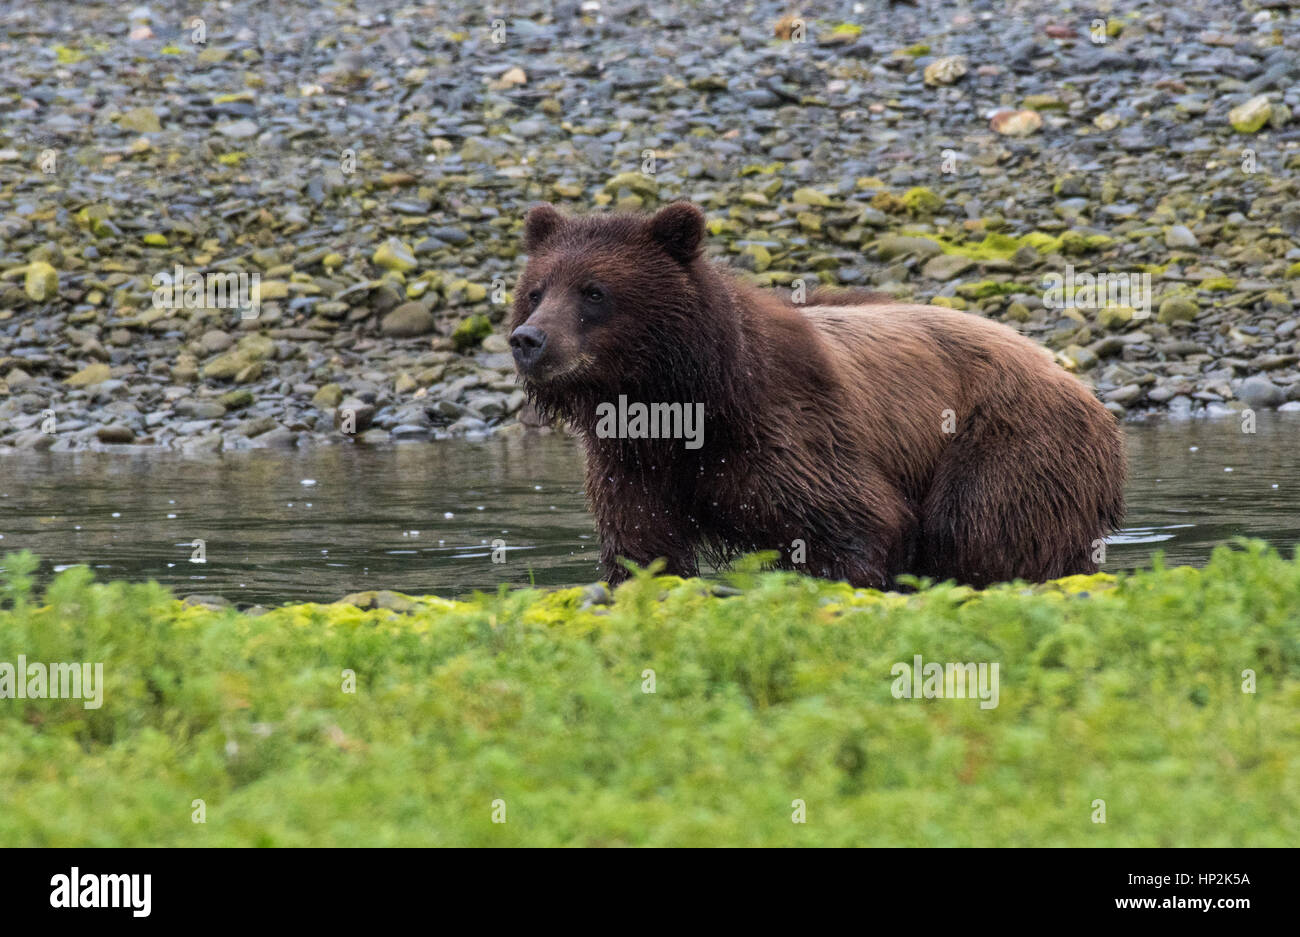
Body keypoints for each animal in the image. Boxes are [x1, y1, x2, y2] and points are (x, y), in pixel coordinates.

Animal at [506, 201, 1128, 587]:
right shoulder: (633, 463)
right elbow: (641, 546)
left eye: (594, 291)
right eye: (536, 290)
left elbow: (852, 524)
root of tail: (1072, 378)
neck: (681, 401)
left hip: (1008, 439)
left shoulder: (786, 428)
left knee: (984, 531)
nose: (528, 339)